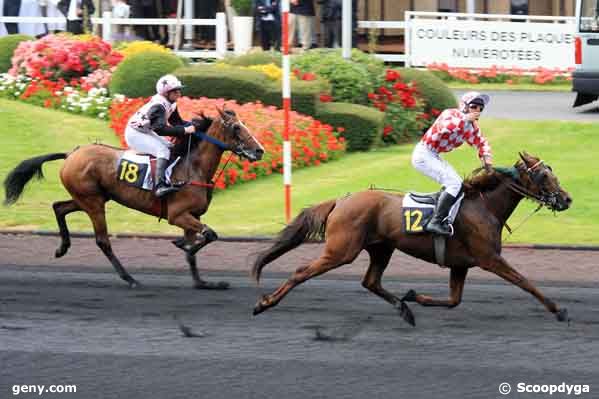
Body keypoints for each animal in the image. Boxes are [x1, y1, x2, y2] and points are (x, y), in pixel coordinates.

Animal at [4, 108, 262, 290]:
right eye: (236, 128)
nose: (259, 151)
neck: (192, 168)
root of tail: (72, 153)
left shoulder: (192, 216)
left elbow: (196, 249)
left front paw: (203, 282)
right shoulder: (177, 215)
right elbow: (209, 235)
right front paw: (183, 245)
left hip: (90, 198)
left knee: (58, 207)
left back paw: (62, 248)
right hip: (93, 202)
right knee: (102, 240)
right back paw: (130, 278)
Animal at [252, 152, 572, 326]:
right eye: (544, 176)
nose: (567, 199)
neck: (484, 205)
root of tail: (341, 200)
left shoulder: (460, 264)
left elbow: (454, 300)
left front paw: (414, 296)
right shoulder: (489, 258)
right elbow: (524, 282)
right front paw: (558, 310)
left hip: (381, 249)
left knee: (370, 281)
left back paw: (405, 309)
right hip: (341, 250)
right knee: (301, 271)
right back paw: (264, 303)